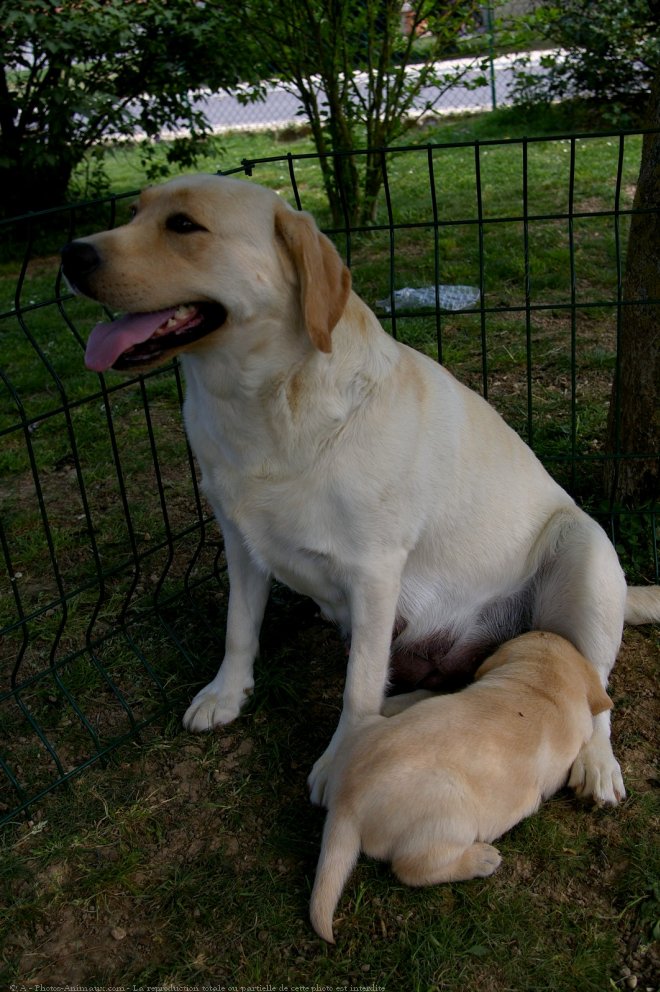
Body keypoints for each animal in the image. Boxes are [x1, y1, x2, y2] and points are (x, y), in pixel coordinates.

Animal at [60, 174, 660, 808]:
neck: (262, 408)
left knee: (595, 694)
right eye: (134, 212)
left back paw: (597, 763)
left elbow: (358, 686)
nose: (72, 254)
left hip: (586, 558)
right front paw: (227, 692)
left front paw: (339, 758)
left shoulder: (374, 571)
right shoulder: (239, 542)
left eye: (183, 225)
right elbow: (239, 627)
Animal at [310, 632, 612, 940]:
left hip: (366, 728)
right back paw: (480, 859)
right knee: (411, 868)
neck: (538, 684)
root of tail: (345, 801)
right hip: (454, 816)